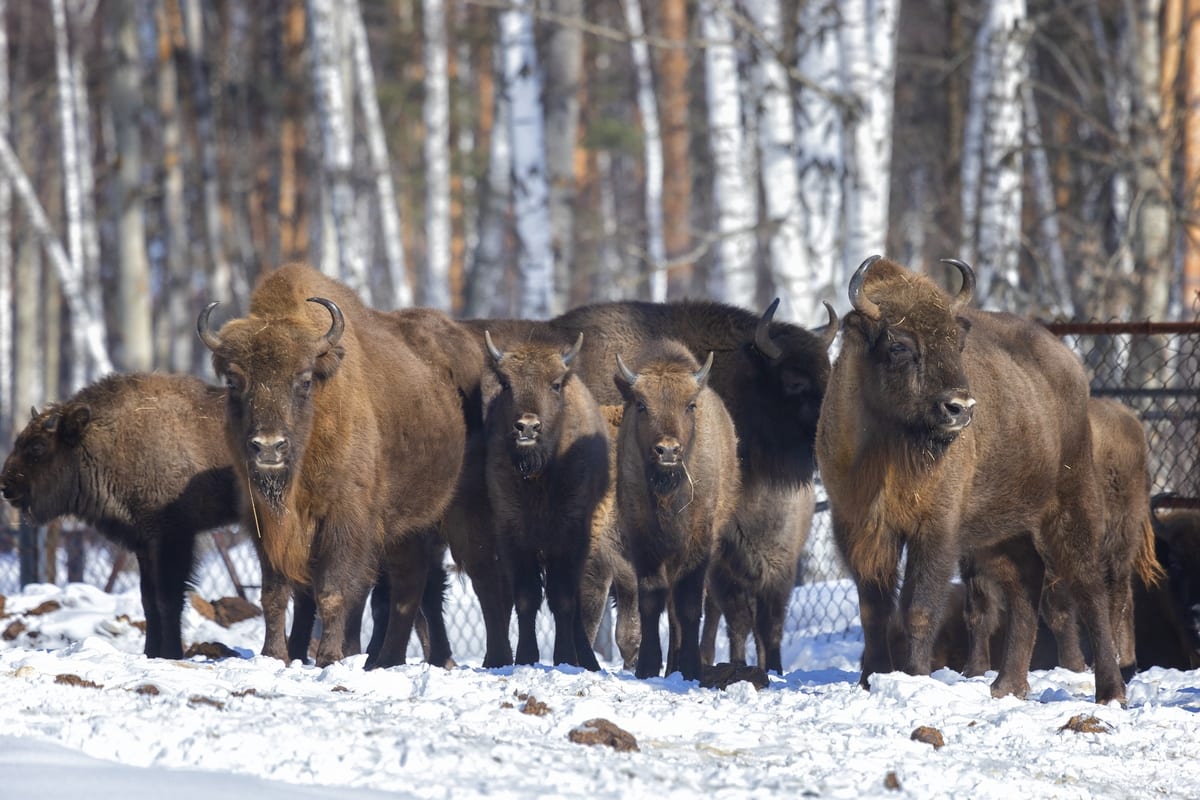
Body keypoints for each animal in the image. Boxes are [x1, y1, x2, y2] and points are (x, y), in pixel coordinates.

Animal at [0, 371, 238, 662]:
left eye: (37, 447)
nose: (6, 485)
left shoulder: (172, 537)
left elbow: (168, 599)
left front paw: (171, 654)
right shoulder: (144, 544)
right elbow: (148, 600)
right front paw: (150, 653)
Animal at [199, 263, 465, 671]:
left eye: (304, 379)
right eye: (233, 381)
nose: (268, 446)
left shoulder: (344, 520)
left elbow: (333, 591)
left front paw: (328, 658)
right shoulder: (267, 524)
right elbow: (275, 593)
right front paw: (275, 655)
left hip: (431, 521)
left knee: (419, 587)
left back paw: (415, 659)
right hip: (403, 530)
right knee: (410, 582)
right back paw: (386, 658)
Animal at [480, 328, 609, 666]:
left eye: (555, 384)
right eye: (506, 383)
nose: (527, 427)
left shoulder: (570, 533)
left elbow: (562, 598)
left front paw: (565, 657)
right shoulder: (512, 534)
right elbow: (526, 597)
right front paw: (526, 657)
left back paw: (586, 658)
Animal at [619, 340, 739, 681]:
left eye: (691, 405)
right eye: (642, 405)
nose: (668, 450)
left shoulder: (698, 540)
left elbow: (688, 602)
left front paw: (691, 667)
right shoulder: (641, 537)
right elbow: (651, 597)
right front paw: (647, 667)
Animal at [820, 256, 1128, 705]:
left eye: (956, 343)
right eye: (899, 345)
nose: (960, 407)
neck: (888, 448)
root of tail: (1069, 364)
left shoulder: (936, 529)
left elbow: (918, 608)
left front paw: (914, 676)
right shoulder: (860, 528)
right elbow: (874, 609)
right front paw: (870, 678)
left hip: (1070, 503)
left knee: (1088, 584)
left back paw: (1110, 691)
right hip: (999, 531)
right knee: (1026, 582)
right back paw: (1007, 685)